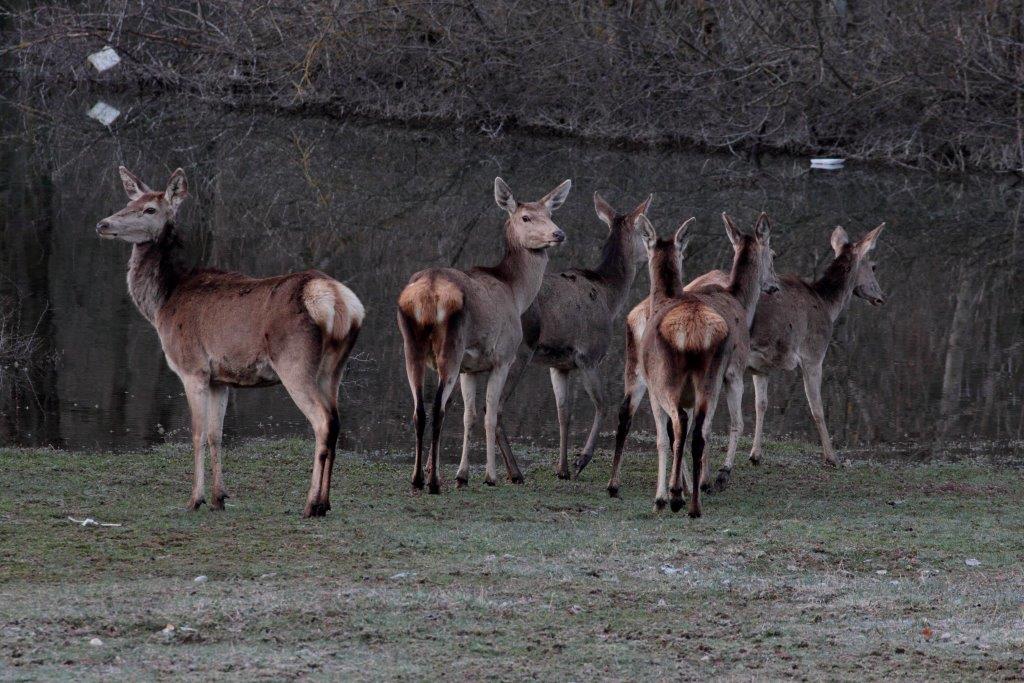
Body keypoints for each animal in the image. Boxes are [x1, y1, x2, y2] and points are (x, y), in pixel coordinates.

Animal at [93, 166, 364, 518]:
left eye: (150, 209)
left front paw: (194, 499)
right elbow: (215, 435)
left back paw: (311, 504)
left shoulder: (192, 367)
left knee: (322, 422)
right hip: (334, 368)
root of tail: (337, 301)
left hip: (295, 361)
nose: (103, 224)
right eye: (130, 202)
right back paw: (326, 502)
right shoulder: (220, 379)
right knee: (336, 420)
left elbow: (195, 434)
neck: (163, 301)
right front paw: (219, 497)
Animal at [395, 179, 573, 493]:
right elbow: (490, 415)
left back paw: (417, 479)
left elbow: (470, 416)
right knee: (438, 409)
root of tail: (428, 290)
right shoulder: (503, 357)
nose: (558, 233)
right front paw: (490, 476)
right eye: (526, 217)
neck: (516, 292)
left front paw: (462, 475)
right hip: (451, 347)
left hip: (411, 345)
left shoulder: (471, 368)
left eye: (550, 213)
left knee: (419, 409)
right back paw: (433, 481)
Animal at [505, 192, 655, 481]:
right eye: (645, 232)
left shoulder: (559, 364)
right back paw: (513, 472)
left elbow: (564, 413)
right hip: (518, 352)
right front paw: (581, 460)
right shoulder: (590, 354)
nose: (653, 253)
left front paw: (561, 468)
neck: (609, 296)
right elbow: (603, 404)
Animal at [602, 224, 884, 497]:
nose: (880, 297)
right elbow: (816, 408)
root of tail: (640, 314)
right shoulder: (813, 353)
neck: (827, 304)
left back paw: (622, 483)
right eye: (873, 265)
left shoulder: (761, 367)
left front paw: (755, 455)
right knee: (687, 421)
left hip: (639, 369)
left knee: (634, 412)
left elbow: (762, 404)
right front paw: (832, 458)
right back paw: (696, 481)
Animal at [630, 210, 774, 516]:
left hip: (667, 380)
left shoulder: (732, 370)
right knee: (697, 430)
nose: (774, 285)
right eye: (774, 255)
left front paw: (673, 491)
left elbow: (667, 438)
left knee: (682, 426)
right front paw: (701, 481)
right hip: (706, 379)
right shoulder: (732, 370)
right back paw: (693, 497)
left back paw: (676, 494)